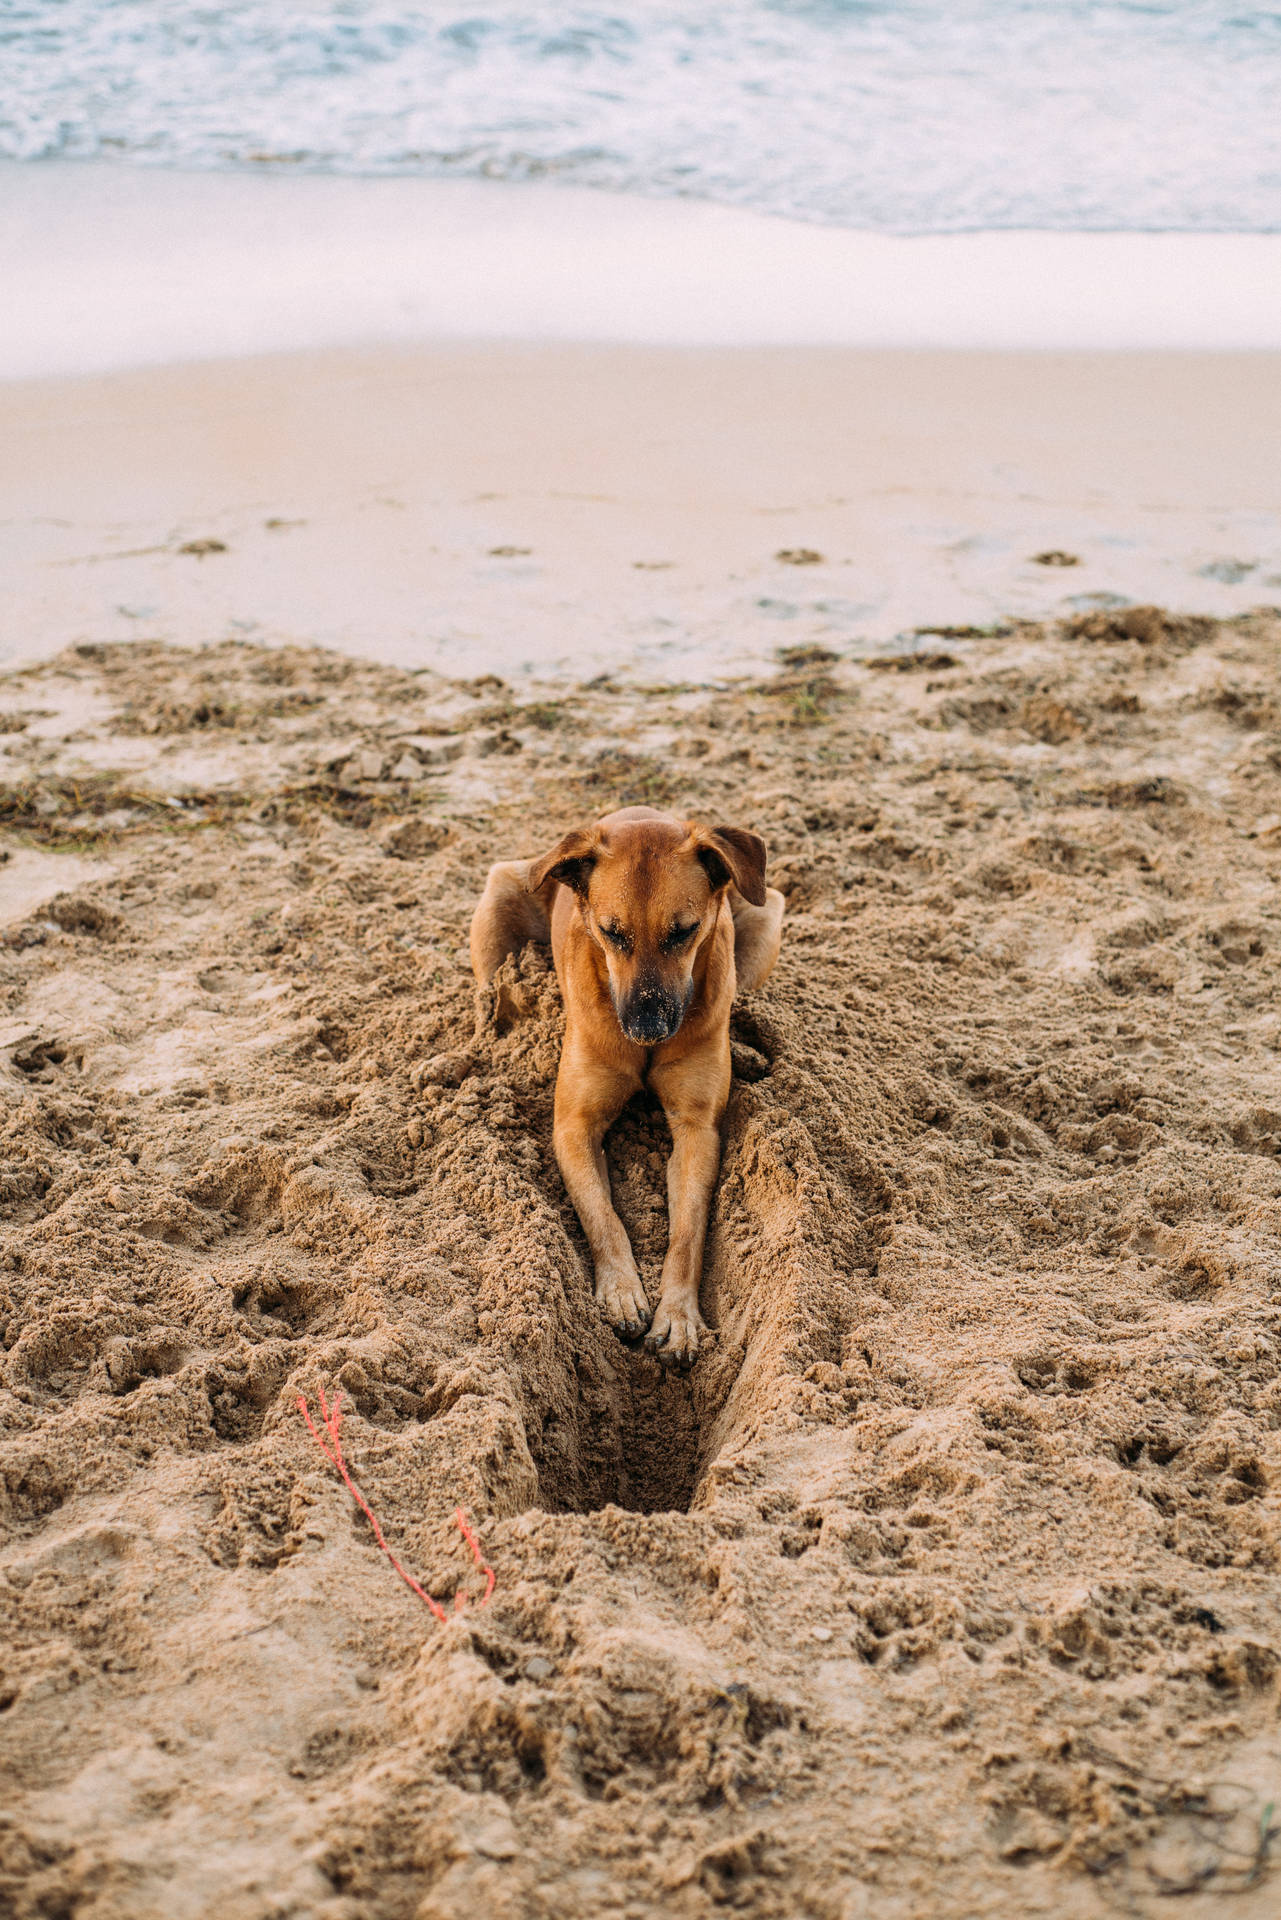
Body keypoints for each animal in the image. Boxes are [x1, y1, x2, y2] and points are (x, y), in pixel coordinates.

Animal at [470, 810, 787, 1367]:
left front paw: (677, 1315)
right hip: (499, 903)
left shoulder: (697, 1129)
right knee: (490, 999)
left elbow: (687, 1231)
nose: (646, 1027)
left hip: (765, 911)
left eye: (684, 932)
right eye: (610, 932)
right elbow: (602, 1215)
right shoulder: (574, 1126)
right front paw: (621, 1291)